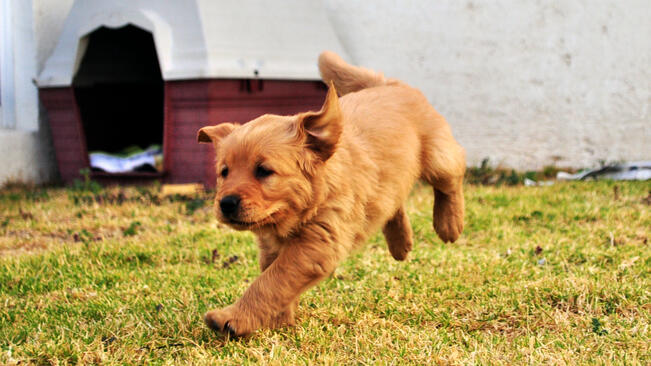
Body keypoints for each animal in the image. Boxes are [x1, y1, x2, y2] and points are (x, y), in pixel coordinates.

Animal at [196, 51, 466, 338]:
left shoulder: (317, 244)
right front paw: (278, 320)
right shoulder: (273, 247)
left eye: (264, 171)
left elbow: (270, 282)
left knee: (454, 173)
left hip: (438, 157)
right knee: (393, 200)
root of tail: (389, 84)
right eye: (224, 172)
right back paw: (400, 243)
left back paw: (450, 224)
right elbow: (273, 279)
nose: (226, 203)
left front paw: (233, 318)